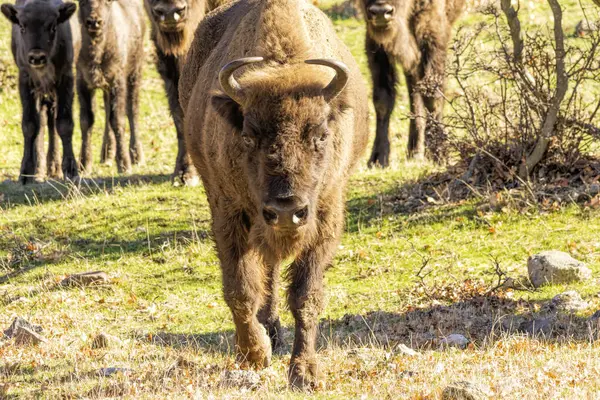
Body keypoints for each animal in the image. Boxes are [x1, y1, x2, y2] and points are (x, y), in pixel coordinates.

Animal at [0, 0, 79, 184]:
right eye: (22, 26)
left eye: (53, 26)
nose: (37, 57)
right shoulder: (26, 82)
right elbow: (30, 125)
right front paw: (26, 173)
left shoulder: (65, 79)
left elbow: (64, 123)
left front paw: (71, 170)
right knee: (43, 120)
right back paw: (41, 169)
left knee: (52, 120)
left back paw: (54, 168)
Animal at [77, 0, 146, 176]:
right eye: (81, 2)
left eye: (107, 2)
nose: (94, 22)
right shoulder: (83, 82)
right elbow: (86, 120)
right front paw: (83, 165)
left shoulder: (117, 81)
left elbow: (118, 120)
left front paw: (124, 165)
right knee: (108, 109)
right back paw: (107, 155)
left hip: (135, 72)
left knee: (132, 110)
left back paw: (137, 156)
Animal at [180, 0, 370, 390]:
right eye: (249, 136)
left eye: (321, 134)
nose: (286, 210)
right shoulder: (228, 213)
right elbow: (240, 288)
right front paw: (254, 354)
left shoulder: (324, 218)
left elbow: (305, 296)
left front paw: (305, 373)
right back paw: (266, 332)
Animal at [358, 0, 466, 166]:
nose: (381, 12)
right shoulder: (375, 42)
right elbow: (382, 100)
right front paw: (377, 158)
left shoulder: (432, 31)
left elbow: (432, 96)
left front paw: (440, 154)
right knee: (413, 89)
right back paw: (414, 150)